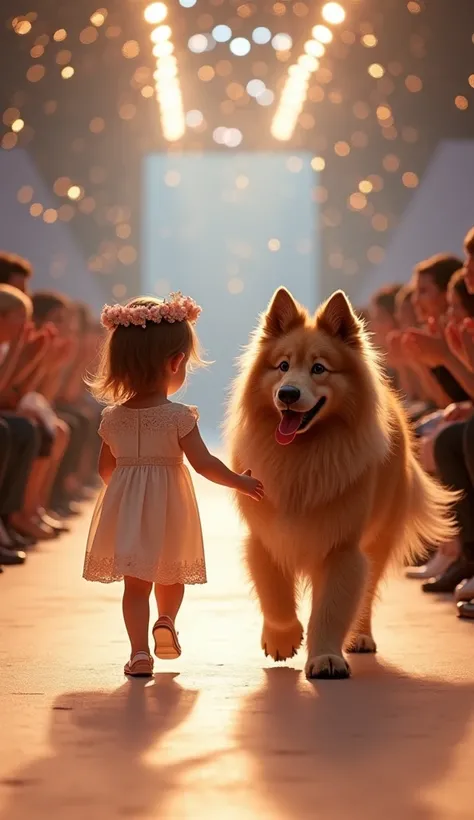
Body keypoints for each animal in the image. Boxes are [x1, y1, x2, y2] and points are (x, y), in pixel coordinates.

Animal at [228, 288, 458, 680]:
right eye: (283, 366)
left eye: (319, 368)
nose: (287, 394)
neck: (303, 454)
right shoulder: (267, 536)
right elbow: (274, 594)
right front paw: (282, 638)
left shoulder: (342, 547)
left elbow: (332, 608)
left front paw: (325, 658)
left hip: (378, 539)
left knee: (366, 593)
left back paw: (360, 637)